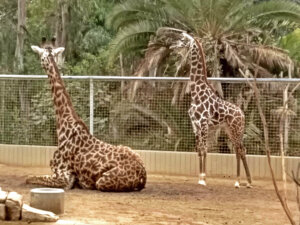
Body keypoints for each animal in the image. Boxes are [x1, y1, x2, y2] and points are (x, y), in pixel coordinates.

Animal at [27, 38, 147, 192]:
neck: (63, 124)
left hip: (102, 181)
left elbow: (30, 178)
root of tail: (143, 175)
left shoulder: (65, 177)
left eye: (40, 56)